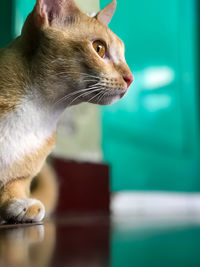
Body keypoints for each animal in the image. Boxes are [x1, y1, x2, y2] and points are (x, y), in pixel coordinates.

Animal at [0, 0, 134, 224]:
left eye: (123, 55)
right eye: (99, 48)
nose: (130, 78)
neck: (39, 110)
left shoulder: (22, 172)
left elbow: (15, 183)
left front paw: (18, 202)